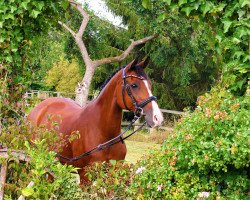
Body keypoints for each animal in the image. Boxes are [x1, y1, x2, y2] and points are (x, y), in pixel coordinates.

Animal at [27, 59, 164, 181]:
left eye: (150, 85)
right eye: (134, 85)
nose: (158, 118)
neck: (104, 133)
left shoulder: (112, 174)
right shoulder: (85, 175)